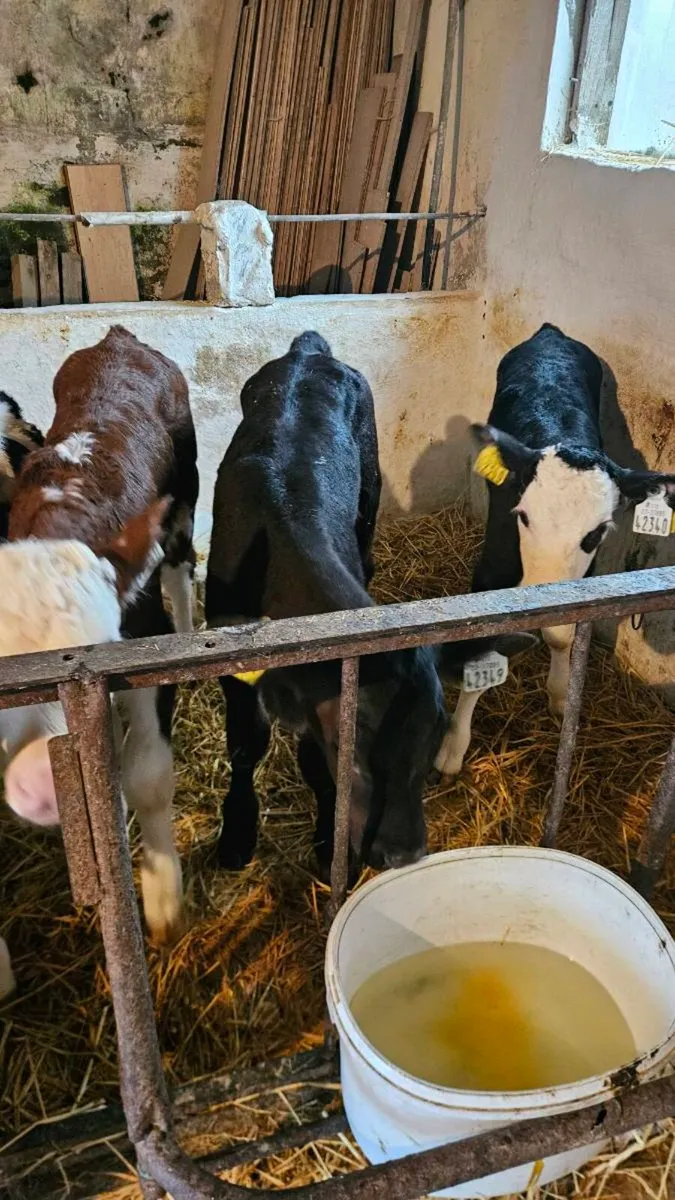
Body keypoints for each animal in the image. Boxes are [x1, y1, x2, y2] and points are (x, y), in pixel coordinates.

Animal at [205, 331, 447, 880]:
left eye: (433, 745)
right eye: (351, 754)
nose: (403, 855)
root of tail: (307, 352)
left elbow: (312, 764)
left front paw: (325, 840)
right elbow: (245, 745)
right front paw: (237, 832)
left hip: (370, 486)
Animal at [435, 322, 675, 778]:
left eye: (596, 533)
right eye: (523, 517)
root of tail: (550, 332)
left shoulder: (585, 578)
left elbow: (562, 637)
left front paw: (562, 695)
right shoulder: (491, 567)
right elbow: (482, 646)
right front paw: (453, 746)